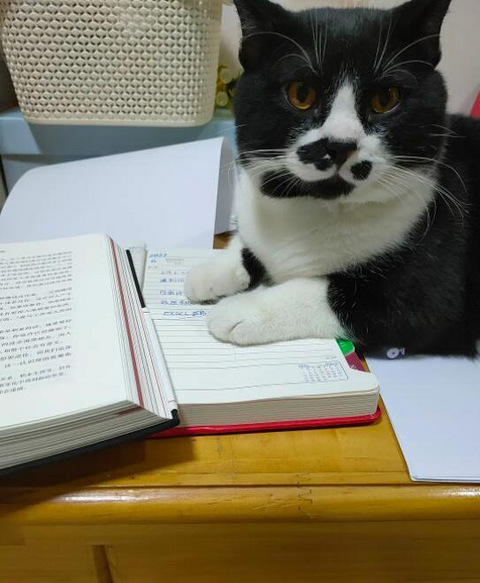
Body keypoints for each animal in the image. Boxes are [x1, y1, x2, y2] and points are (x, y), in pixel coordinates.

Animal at [185, 0, 480, 357]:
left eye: (386, 98)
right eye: (301, 93)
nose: (340, 145)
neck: (310, 205)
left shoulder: (429, 294)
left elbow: (329, 292)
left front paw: (243, 309)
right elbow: (248, 244)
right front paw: (212, 271)